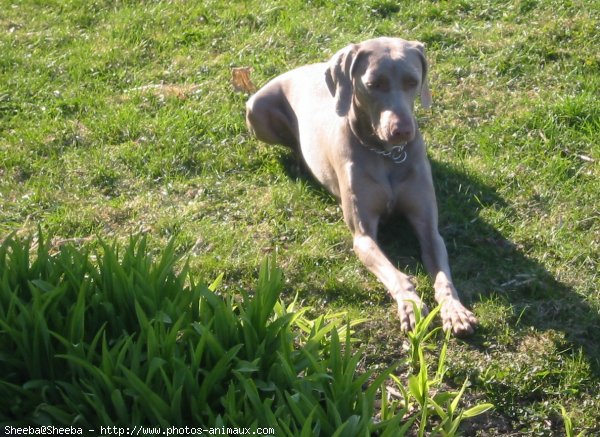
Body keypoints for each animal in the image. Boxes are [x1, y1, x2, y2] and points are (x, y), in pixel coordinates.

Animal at [246, 38, 476, 338]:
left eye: (412, 81)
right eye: (374, 84)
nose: (403, 131)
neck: (387, 154)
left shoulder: (429, 228)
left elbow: (443, 276)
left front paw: (455, 310)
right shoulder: (363, 235)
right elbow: (396, 274)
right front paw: (411, 304)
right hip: (256, 108)